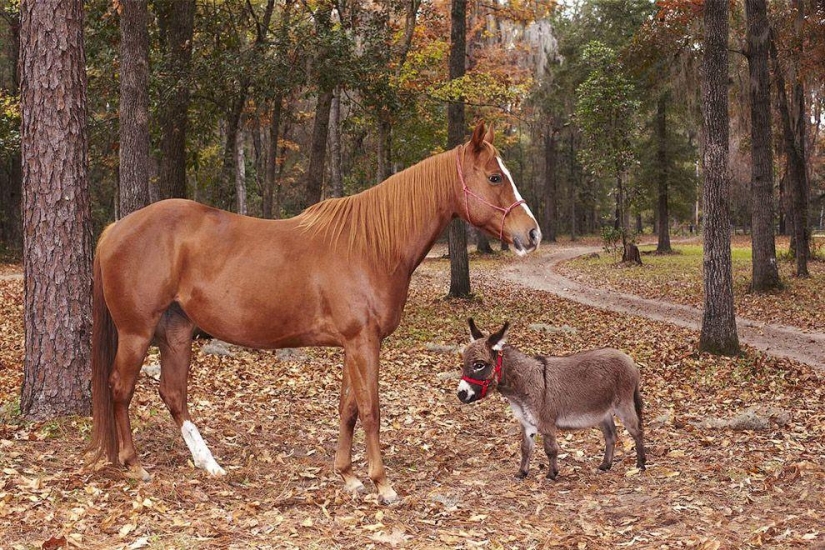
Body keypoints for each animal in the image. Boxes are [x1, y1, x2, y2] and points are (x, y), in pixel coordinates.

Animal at [90, 122, 540, 504]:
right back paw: (134, 465)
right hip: (136, 333)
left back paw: (209, 464)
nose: (531, 233)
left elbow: (348, 409)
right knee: (120, 389)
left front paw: (349, 476)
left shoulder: (353, 344)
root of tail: (114, 230)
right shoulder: (363, 343)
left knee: (172, 394)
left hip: (177, 333)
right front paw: (382, 484)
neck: (371, 245)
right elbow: (371, 410)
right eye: (495, 177)